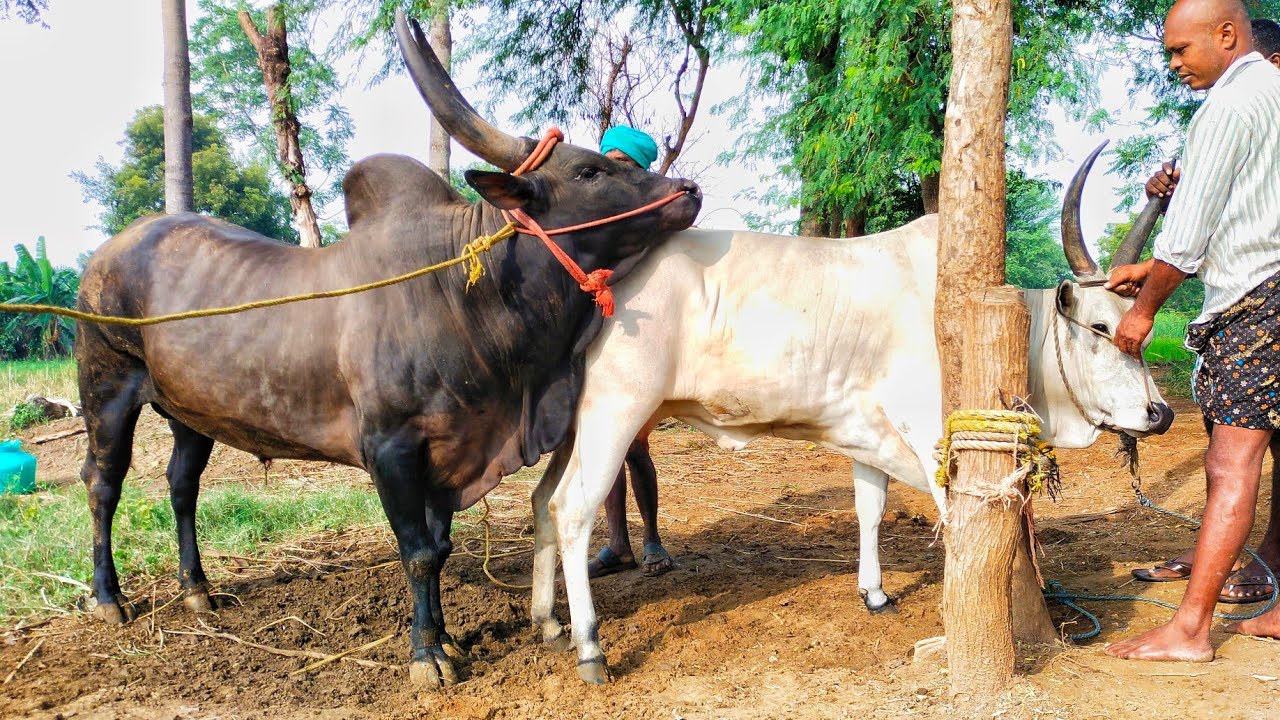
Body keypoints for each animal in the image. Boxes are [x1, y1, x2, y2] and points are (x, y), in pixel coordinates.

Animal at [73, 11, 701, 688]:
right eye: (589, 171)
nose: (688, 188)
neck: (467, 294)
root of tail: (109, 251)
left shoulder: (453, 452)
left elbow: (440, 546)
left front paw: (447, 638)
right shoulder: (392, 449)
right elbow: (419, 552)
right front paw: (428, 655)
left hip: (190, 411)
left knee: (181, 483)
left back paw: (197, 590)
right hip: (107, 388)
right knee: (102, 483)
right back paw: (109, 598)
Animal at [526, 144, 1174, 683]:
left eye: (1140, 331)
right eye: (1101, 327)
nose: (1160, 413)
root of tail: (599, 275)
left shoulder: (869, 436)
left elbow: (871, 509)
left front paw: (875, 593)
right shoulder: (929, 427)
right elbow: (958, 521)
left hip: (576, 426)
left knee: (541, 500)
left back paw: (548, 623)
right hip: (616, 411)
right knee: (572, 509)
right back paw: (589, 647)